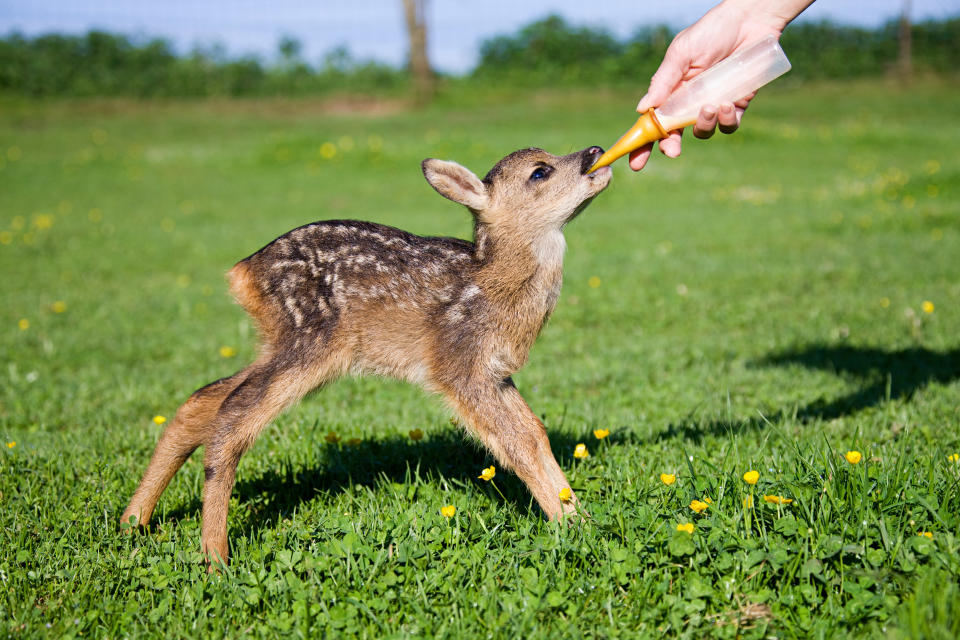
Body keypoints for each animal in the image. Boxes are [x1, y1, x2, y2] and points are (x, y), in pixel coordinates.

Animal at [122, 146, 608, 564]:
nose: (596, 152)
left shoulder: (495, 373)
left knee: (203, 398)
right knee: (233, 415)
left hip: (281, 342)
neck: (494, 287)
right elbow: (515, 445)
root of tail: (241, 272)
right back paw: (214, 556)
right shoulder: (458, 363)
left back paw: (134, 521)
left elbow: (535, 433)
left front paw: (579, 520)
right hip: (310, 339)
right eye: (540, 171)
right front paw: (568, 522)